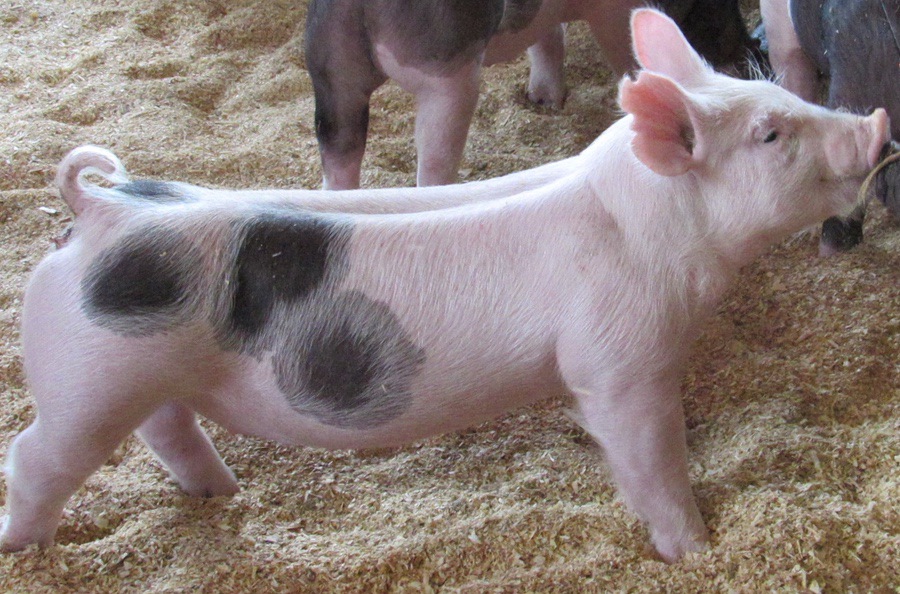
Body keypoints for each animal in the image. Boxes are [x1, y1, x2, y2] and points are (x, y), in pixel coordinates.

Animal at [305, 0, 765, 190]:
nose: (750, 52)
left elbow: (548, 39)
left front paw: (544, 101)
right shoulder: (611, 8)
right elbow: (620, 45)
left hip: (331, 69)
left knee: (339, 155)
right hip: (446, 75)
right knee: (433, 162)